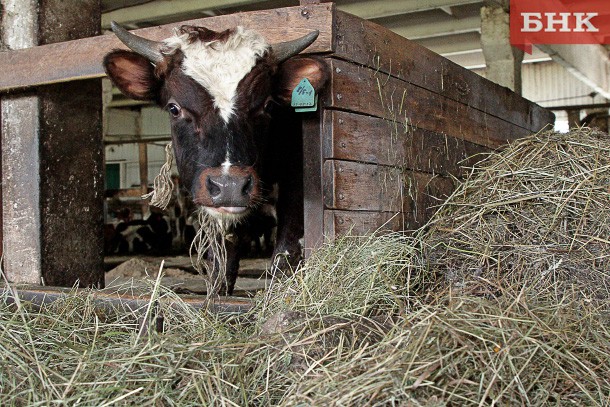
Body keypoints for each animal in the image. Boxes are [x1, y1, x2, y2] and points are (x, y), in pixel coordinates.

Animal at [103, 22, 328, 294]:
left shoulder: (296, 183)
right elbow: (221, 264)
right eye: (174, 108)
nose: (230, 185)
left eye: (268, 106)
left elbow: (285, 255)